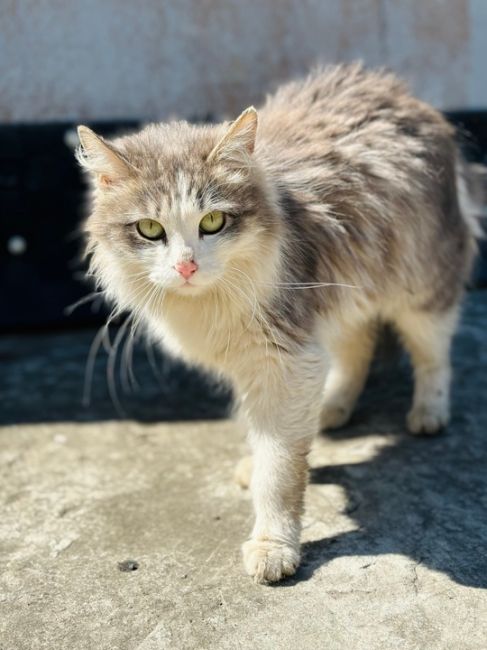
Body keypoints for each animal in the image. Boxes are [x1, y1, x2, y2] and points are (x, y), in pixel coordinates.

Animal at [77, 64, 484, 584]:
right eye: (150, 230)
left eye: (212, 221)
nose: (187, 266)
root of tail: (402, 94)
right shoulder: (259, 359)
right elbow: (261, 432)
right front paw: (254, 463)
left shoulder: (287, 358)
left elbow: (280, 470)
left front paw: (274, 546)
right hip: (346, 298)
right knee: (359, 345)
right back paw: (331, 409)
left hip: (421, 289)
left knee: (433, 355)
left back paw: (428, 414)